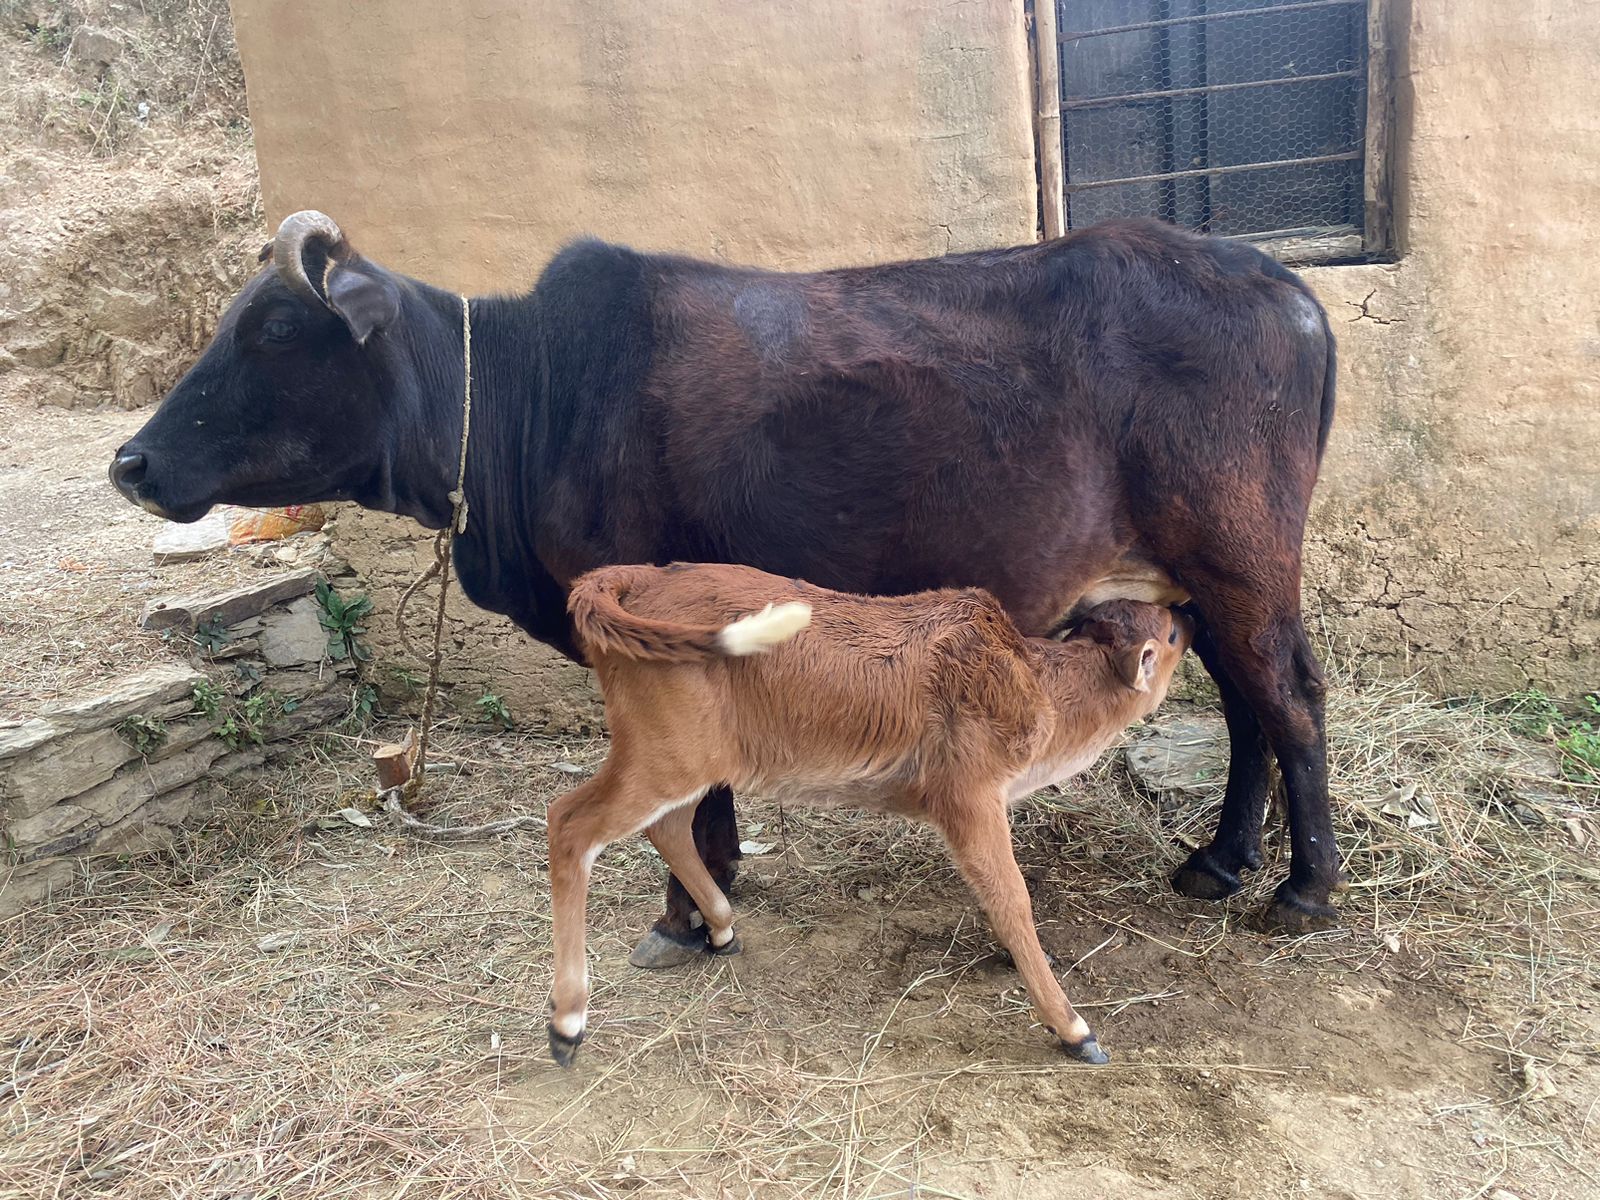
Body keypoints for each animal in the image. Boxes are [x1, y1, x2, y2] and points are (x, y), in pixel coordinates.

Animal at [108, 210, 1343, 963]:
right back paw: (1219, 862)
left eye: (276, 328)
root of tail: (1274, 277)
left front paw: (685, 916)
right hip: (1200, 581)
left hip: (1240, 559)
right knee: (1247, 708)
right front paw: (718, 887)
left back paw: (1304, 889)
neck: (534, 394)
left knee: (1289, 703)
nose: (131, 462)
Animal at [546, 562, 1193, 1067]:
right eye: (1171, 633)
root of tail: (636, 576)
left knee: (667, 827)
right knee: (569, 822)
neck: (1037, 686)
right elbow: (1011, 897)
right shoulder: (970, 797)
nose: (1189, 616)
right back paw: (566, 1024)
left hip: (688, 763)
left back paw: (724, 929)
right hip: (662, 757)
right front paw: (1074, 1029)